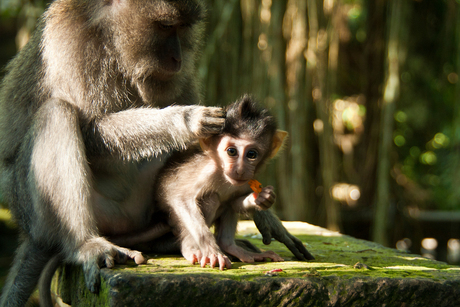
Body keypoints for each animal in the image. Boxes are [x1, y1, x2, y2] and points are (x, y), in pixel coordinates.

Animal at [156, 95, 290, 270]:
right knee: (211, 198)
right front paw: (212, 251)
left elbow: (236, 202)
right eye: (231, 151)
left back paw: (231, 247)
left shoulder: (247, 179)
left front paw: (262, 199)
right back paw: (190, 247)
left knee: (228, 203)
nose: (240, 170)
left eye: (252, 154)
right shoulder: (206, 172)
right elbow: (180, 197)